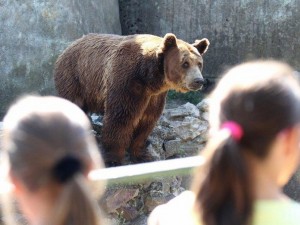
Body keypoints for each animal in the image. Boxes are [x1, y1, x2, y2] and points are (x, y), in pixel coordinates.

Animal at [53, 32, 209, 165]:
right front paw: (113, 159)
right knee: (74, 105)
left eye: (199, 63)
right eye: (185, 63)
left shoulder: (154, 96)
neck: (150, 78)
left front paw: (143, 155)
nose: (199, 81)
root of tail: (70, 45)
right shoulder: (127, 82)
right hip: (75, 78)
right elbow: (121, 118)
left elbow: (147, 120)